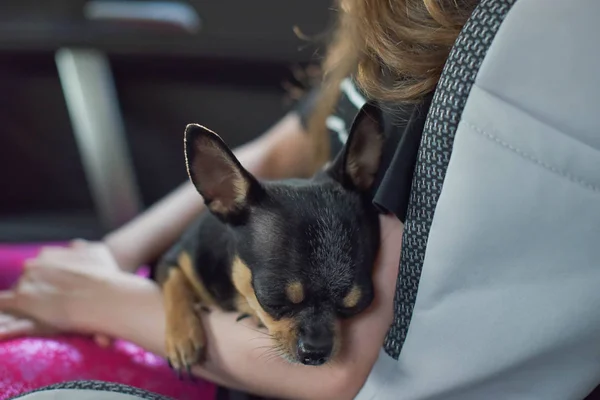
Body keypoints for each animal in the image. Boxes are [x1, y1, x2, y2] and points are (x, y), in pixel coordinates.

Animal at [156, 103, 384, 376]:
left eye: (354, 306)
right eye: (272, 300)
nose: (316, 351)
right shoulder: (172, 259)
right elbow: (175, 281)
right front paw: (183, 337)